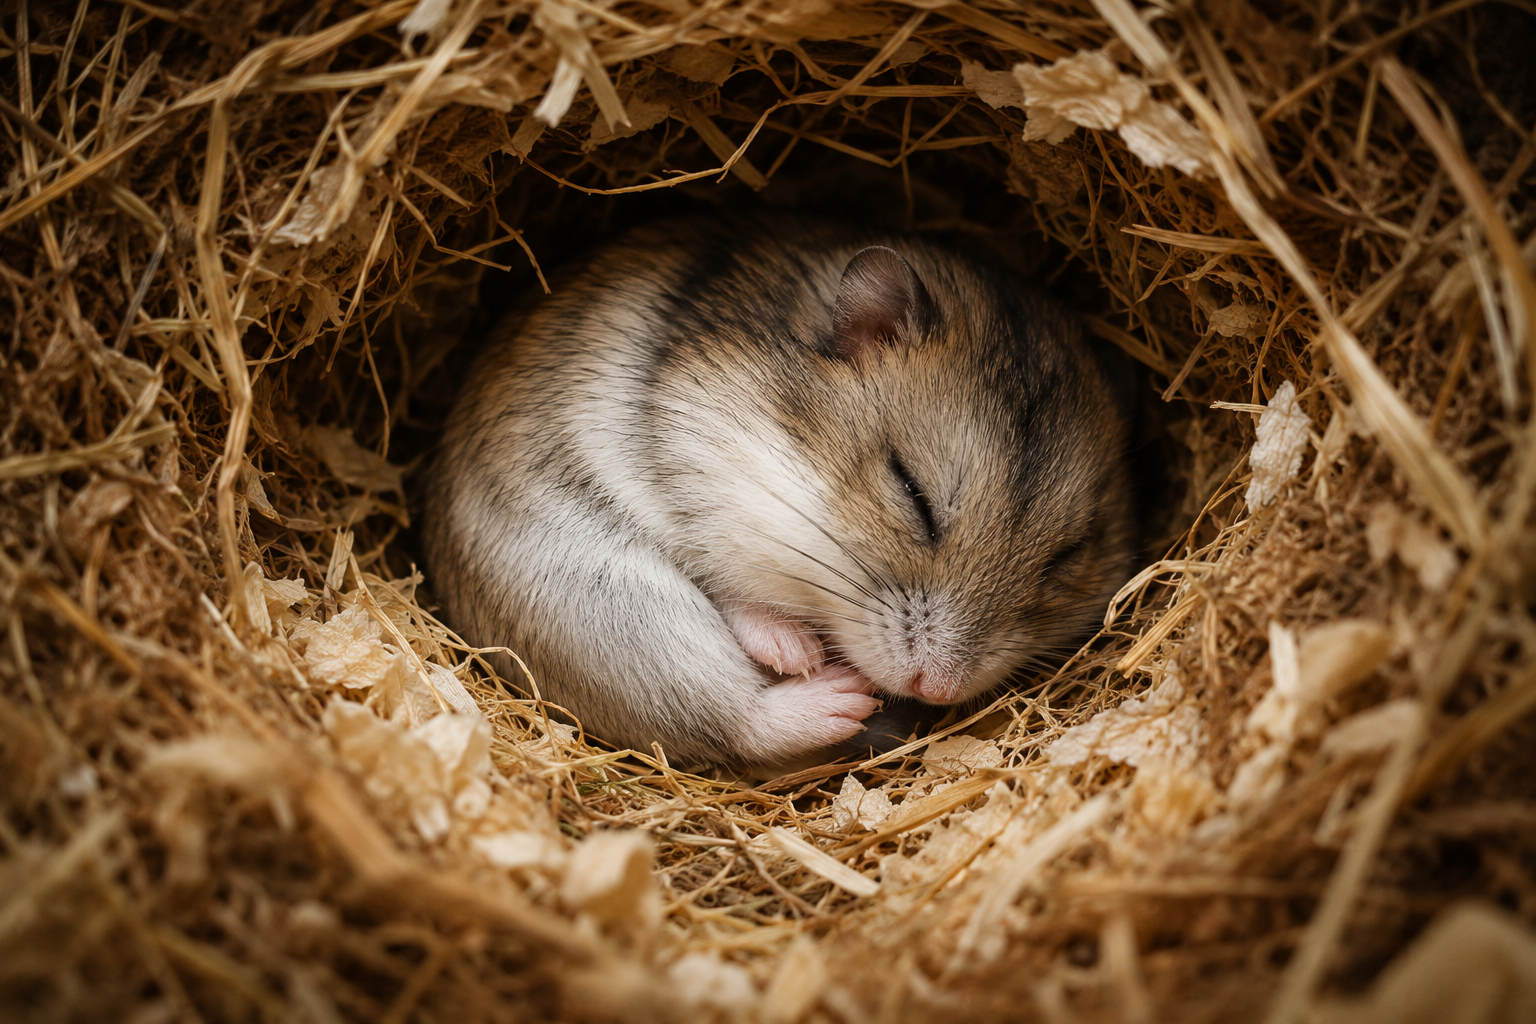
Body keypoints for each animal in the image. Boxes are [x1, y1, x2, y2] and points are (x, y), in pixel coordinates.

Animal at [424, 217, 1135, 768]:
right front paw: (799, 651)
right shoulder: (697, 478)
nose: (934, 688)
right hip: (607, 613)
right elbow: (733, 588)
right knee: (730, 720)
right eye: (912, 492)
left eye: (1067, 557)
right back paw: (841, 695)